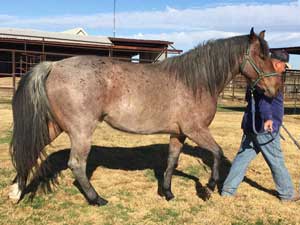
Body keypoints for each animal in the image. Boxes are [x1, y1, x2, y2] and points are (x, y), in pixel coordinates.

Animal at [9, 28, 282, 206]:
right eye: (261, 56)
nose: (274, 89)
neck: (195, 82)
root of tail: (54, 65)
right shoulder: (195, 130)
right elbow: (216, 152)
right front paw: (209, 187)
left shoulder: (179, 133)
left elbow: (172, 161)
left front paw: (168, 193)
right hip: (81, 130)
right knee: (76, 164)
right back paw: (97, 199)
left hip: (55, 125)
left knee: (31, 150)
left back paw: (16, 192)